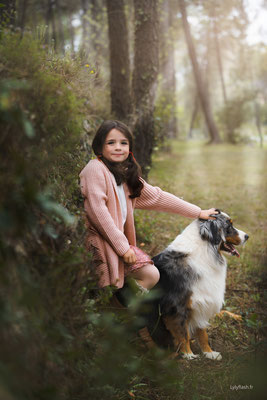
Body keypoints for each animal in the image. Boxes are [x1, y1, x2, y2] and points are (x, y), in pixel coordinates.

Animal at [141, 211, 250, 360]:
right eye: (229, 226)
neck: (206, 251)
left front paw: (209, 352)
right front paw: (188, 355)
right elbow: (183, 333)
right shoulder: (177, 306)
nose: (247, 236)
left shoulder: (202, 300)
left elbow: (202, 332)